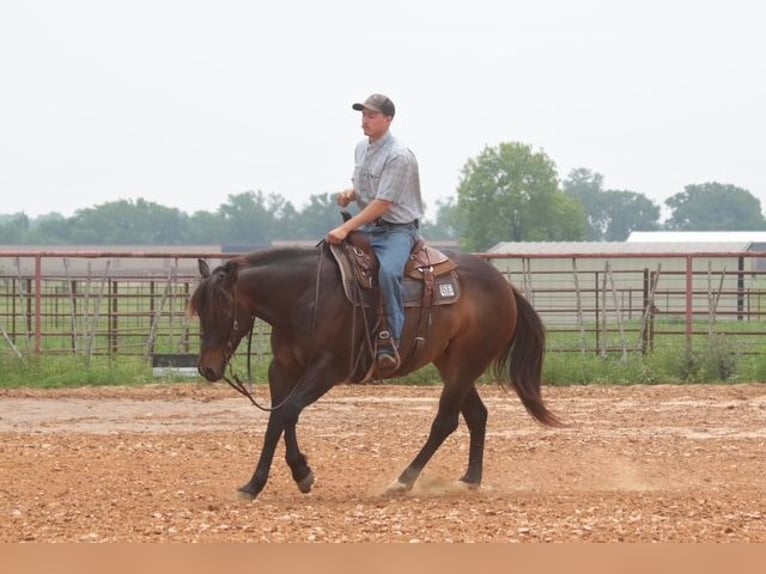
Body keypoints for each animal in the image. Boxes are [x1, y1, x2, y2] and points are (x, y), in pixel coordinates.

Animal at [188, 244, 559, 500]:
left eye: (222, 310)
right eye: (200, 311)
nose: (207, 367)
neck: (305, 296)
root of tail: (505, 287)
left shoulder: (327, 369)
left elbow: (286, 413)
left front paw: (278, 478)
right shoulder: (282, 368)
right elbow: (279, 419)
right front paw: (281, 477)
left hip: (467, 361)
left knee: (445, 422)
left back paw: (403, 481)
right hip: (450, 361)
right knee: (477, 415)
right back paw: (469, 480)